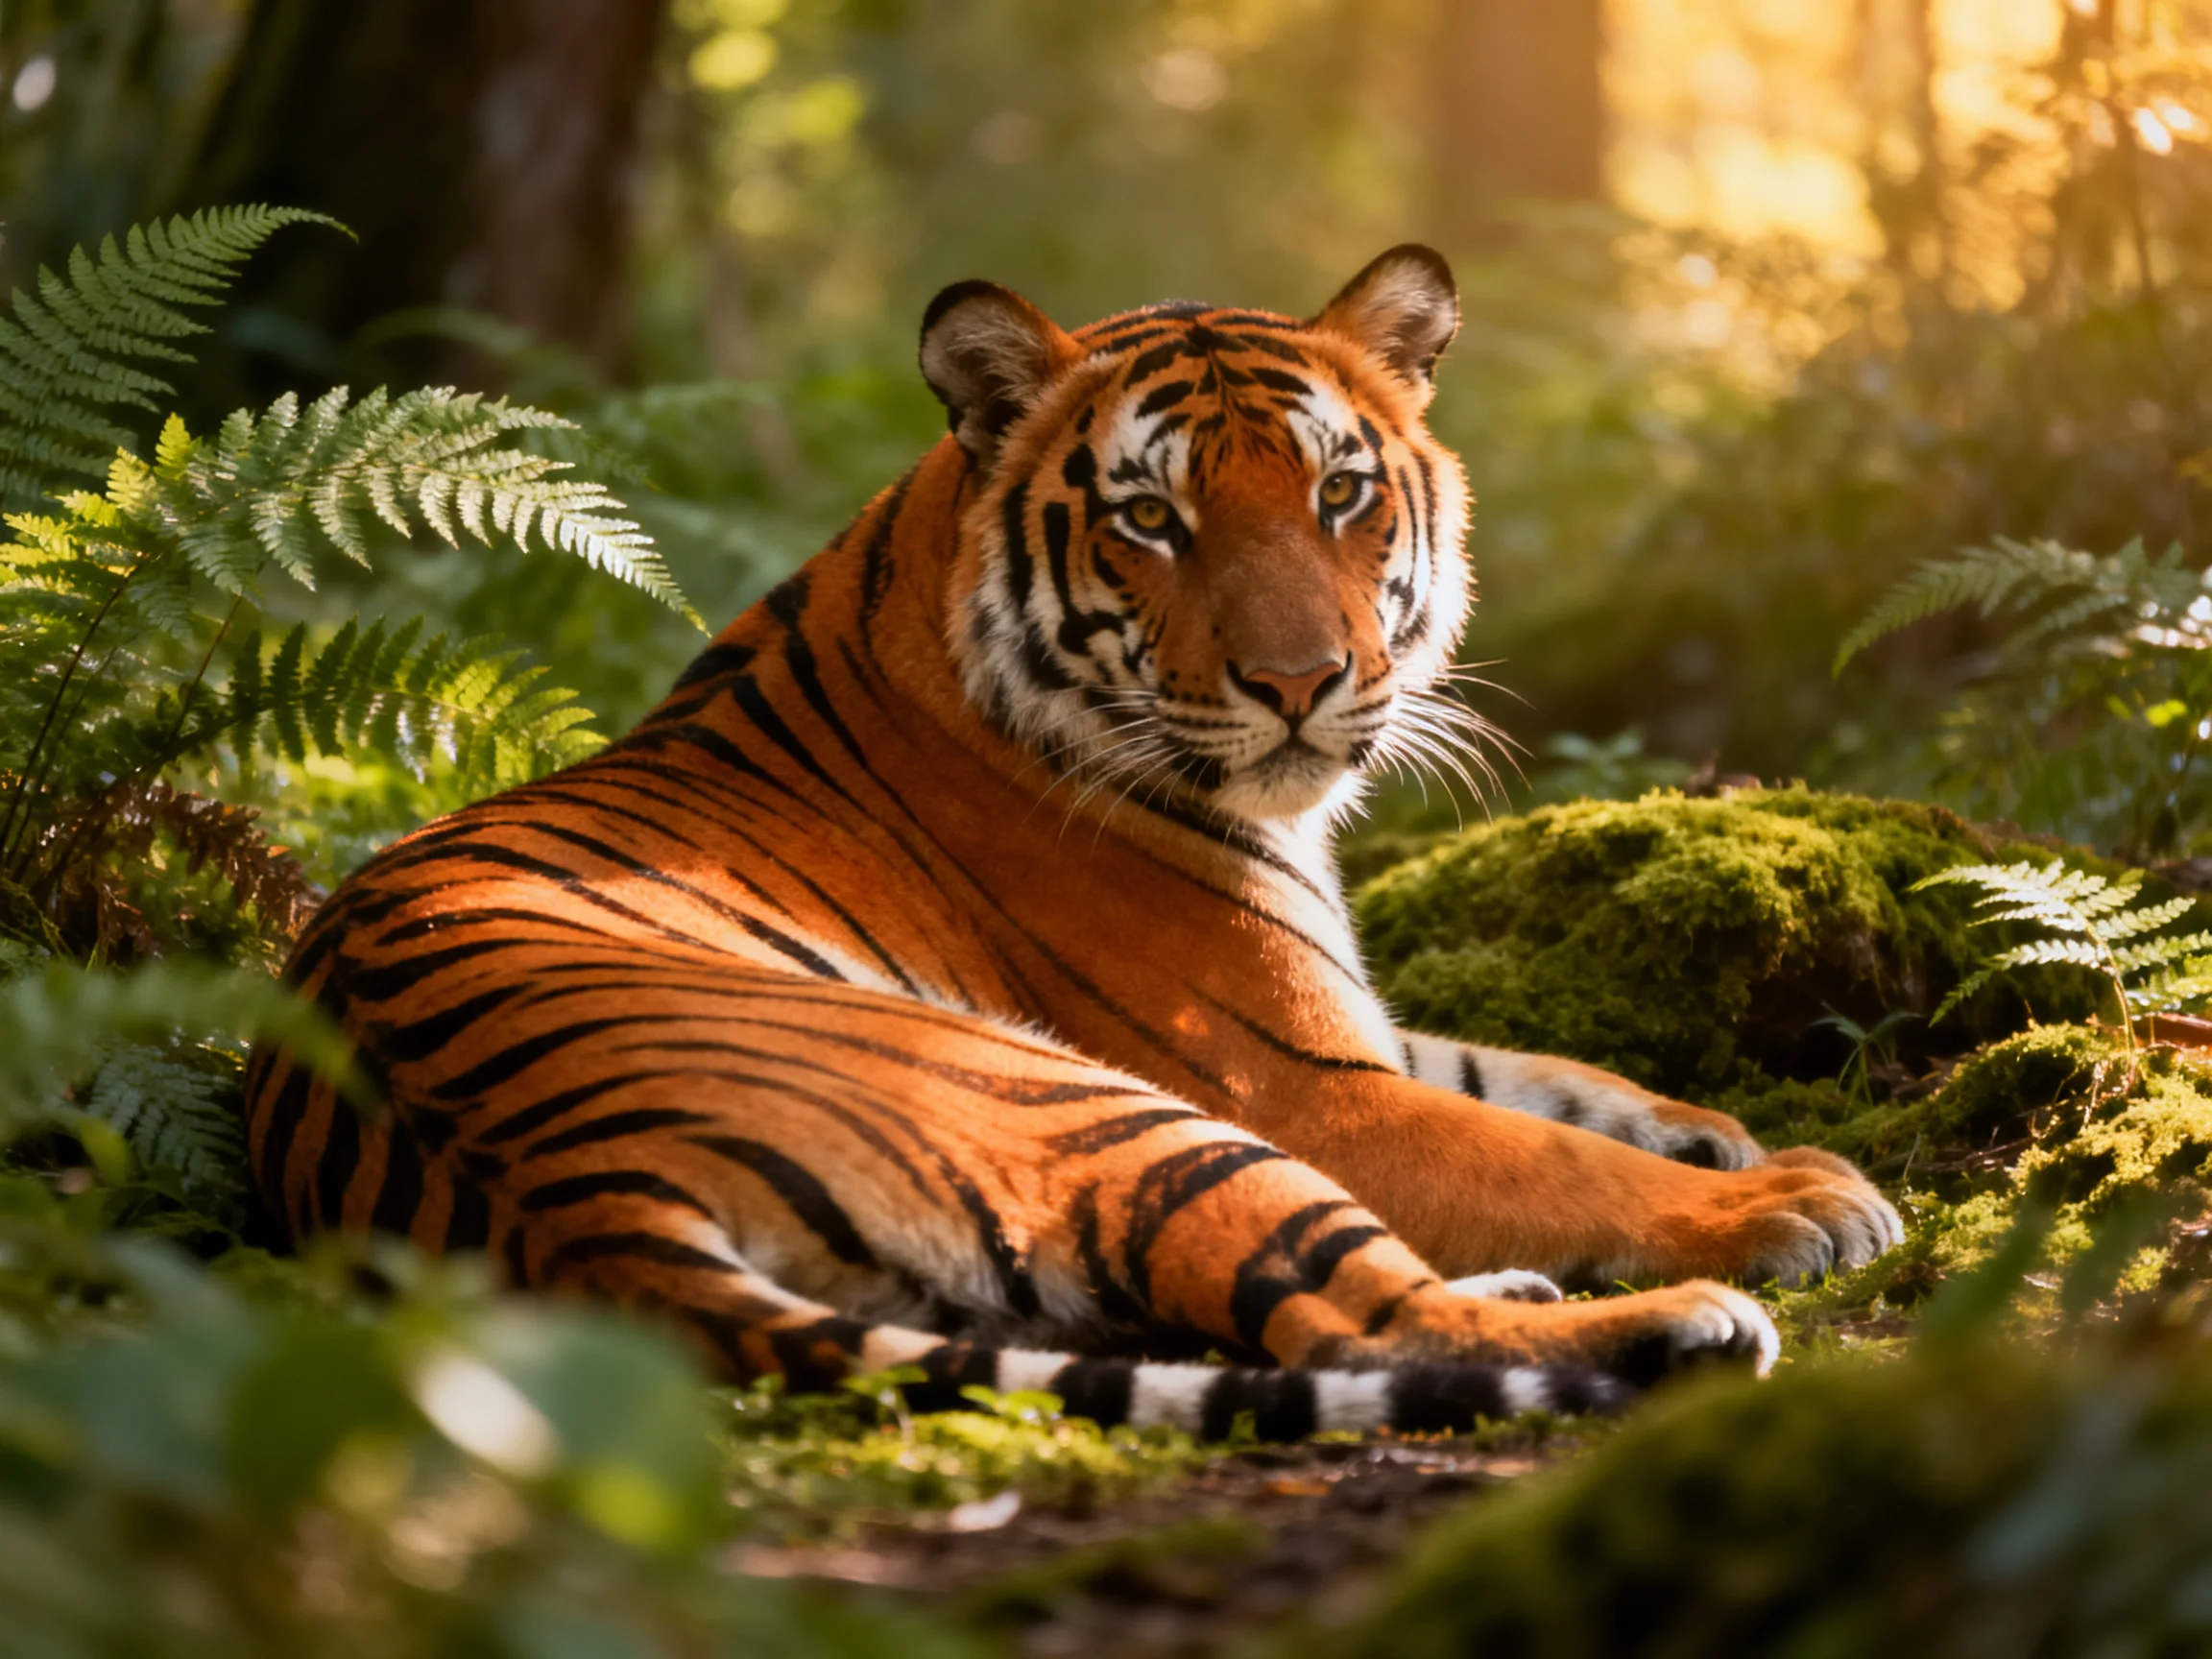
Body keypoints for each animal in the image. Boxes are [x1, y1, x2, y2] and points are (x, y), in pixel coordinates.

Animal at [244, 246, 1901, 1440]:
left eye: (1341, 492)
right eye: (1150, 519)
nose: (1302, 683)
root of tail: (567, 1195)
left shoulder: (1344, 1030)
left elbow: (1538, 1076)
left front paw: (1716, 1127)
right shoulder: (1294, 1080)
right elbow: (1545, 1148)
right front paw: (1789, 1195)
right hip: (1102, 1109)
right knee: (1361, 1314)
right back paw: (1681, 1322)